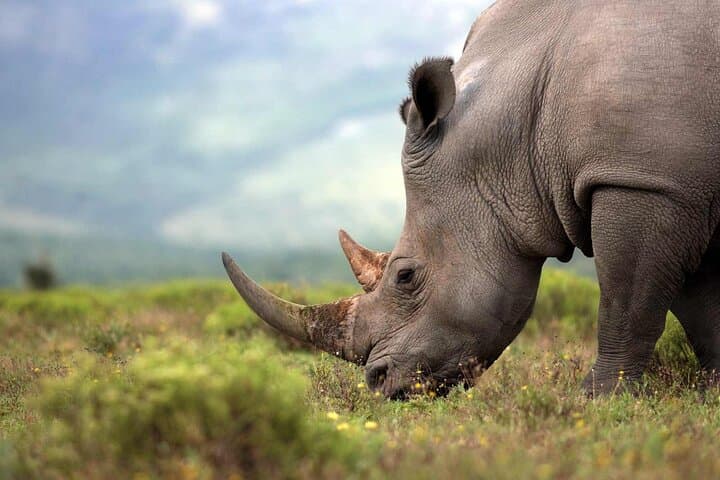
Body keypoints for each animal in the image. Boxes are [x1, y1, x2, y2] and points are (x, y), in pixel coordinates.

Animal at [222, 0, 720, 398]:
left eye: (405, 276)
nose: (378, 382)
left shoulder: (640, 180)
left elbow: (626, 300)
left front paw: (598, 400)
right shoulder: (678, 185)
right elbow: (699, 307)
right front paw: (711, 392)